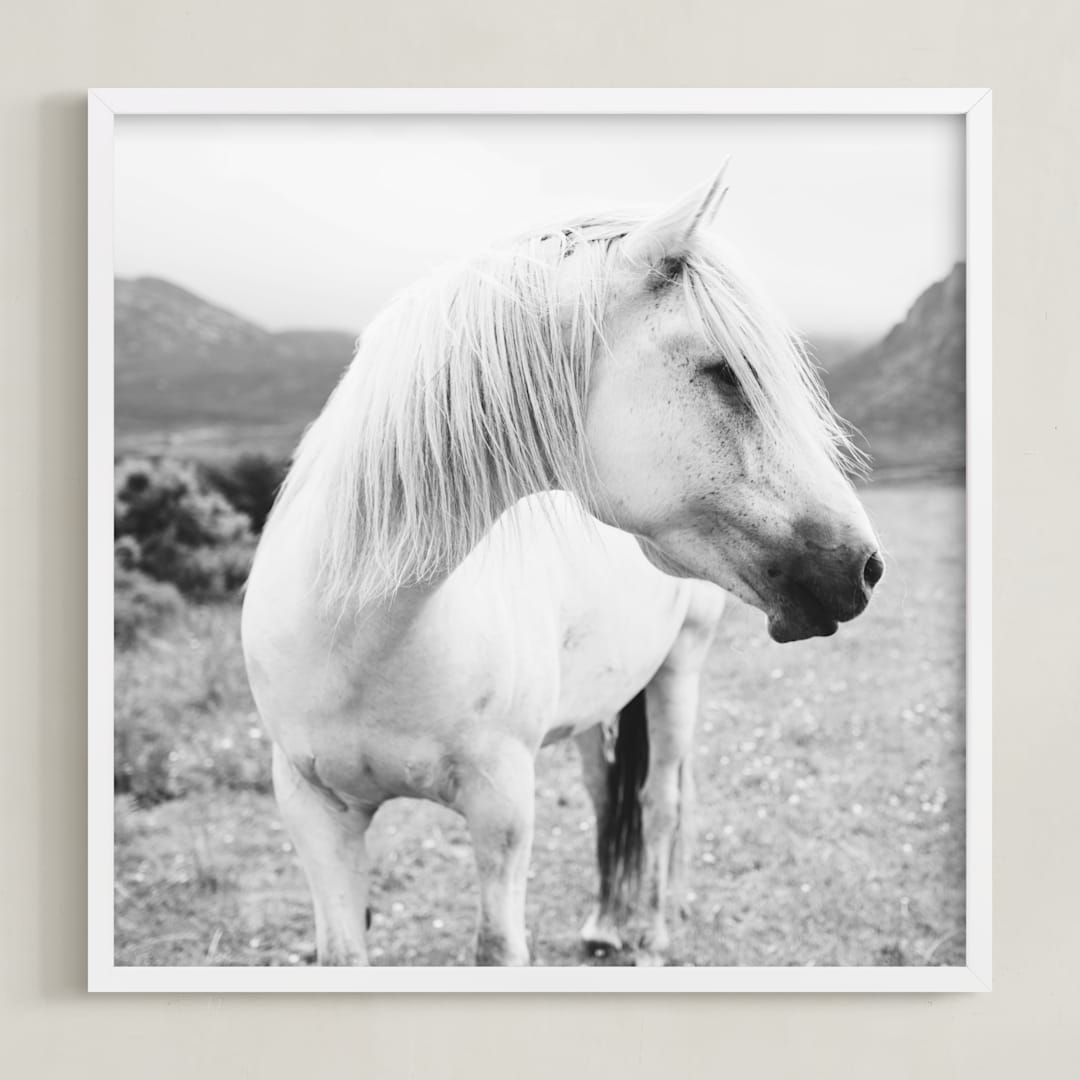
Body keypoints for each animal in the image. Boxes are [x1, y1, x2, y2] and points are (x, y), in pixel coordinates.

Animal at [241, 167, 883, 967]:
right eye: (724, 372)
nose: (863, 566)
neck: (358, 639)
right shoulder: (312, 810)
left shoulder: (500, 805)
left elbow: (497, 946)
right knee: (611, 793)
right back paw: (607, 920)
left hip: (680, 668)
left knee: (661, 800)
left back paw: (653, 931)